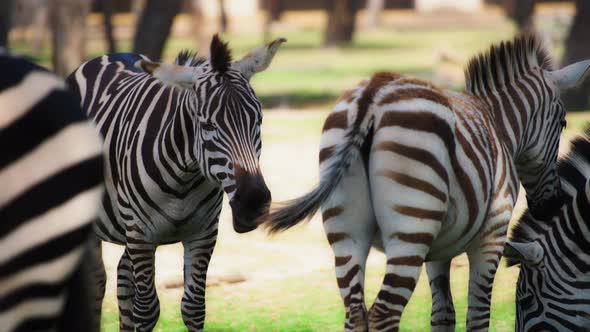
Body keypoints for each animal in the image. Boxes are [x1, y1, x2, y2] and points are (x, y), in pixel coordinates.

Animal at [67, 35, 284, 330]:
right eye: (207, 126)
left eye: (259, 120)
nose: (253, 204)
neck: (184, 177)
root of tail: (110, 55)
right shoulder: (141, 235)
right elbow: (147, 309)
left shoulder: (203, 233)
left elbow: (193, 307)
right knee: (98, 282)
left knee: (123, 277)